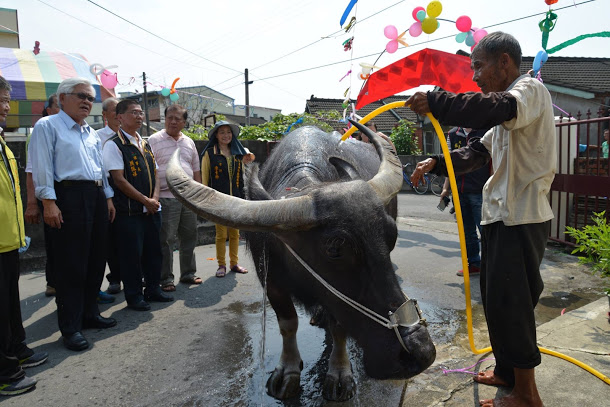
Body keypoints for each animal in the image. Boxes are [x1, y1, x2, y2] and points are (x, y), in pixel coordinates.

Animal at [164, 121, 434, 402]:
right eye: (334, 248)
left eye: (391, 235)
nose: (420, 352)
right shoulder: (272, 282)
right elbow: (288, 324)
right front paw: (288, 371)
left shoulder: (335, 299)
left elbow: (339, 327)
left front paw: (339, 374)